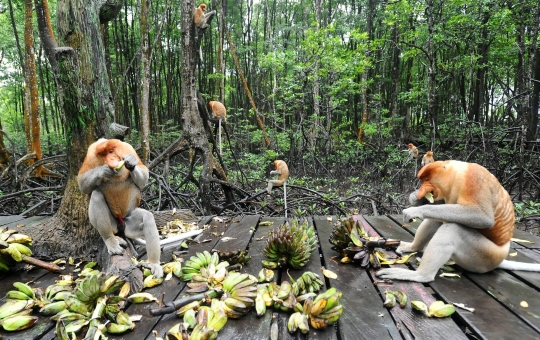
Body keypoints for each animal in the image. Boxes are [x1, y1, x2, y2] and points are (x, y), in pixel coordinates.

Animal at [77, 139, 162, 278]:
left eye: (111, 151)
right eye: (103, 154)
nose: (110, 160)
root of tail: (121, 225)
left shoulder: (128, 148)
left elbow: (144, 175)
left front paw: (131, 163)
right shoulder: (91, 155)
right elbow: (82, 183)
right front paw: (104, 170)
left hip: (129, 223)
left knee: (147, 217)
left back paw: (154, 264)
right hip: (112, 224)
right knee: (96, 195)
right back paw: (111, 240)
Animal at [376, 161, 540, 282]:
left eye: (427, 179)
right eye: (422, 180)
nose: (421, 189)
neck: (458, 175)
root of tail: (500, 258)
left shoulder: (474, 179)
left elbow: (483, 217)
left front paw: (415, 210)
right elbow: (440, 205)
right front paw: (415, 198)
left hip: (485, 257)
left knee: (453, 228)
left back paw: (420, 276)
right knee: (440, 218)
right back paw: (412, 247)